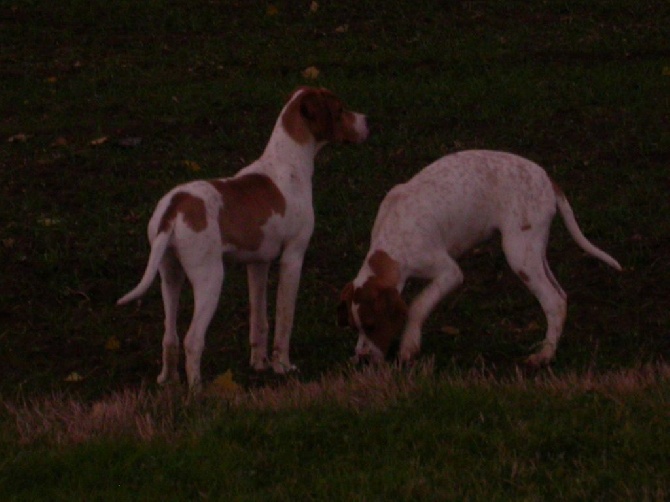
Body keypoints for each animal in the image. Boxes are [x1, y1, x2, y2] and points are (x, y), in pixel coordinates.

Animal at [121, 87, 372, 392]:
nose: (368, 121)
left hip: (169, 277)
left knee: (170, 337)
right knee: (192, 340)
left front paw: (260, 364)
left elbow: (259, 322)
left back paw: (168, 381)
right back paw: (197, 390)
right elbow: (284, 320)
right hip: (210, 279)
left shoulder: (258, 265)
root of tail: (175, 206)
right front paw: (282, 367)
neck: (288, 161)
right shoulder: (293, 258)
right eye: (340, 109)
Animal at [342, 151, 624, 366]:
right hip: (534, 253)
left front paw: (409, 346)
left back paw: (544, 355)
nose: (361, 360)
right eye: (355, 328)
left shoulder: (450, 273)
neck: (392, 242)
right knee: (561, 297)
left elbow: (417, 305)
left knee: (553, 301)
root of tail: (545, 177)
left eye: (372, 325)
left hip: (519, 253)